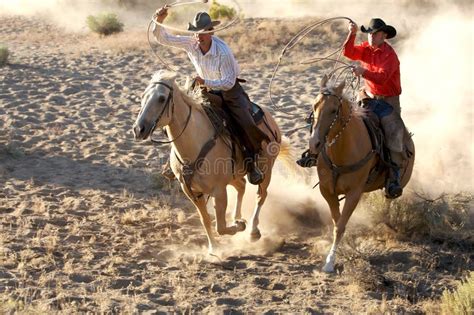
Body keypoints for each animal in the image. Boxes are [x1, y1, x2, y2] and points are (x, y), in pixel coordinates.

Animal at [131, 71, 284, 254]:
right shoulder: (191, 191)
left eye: (161, 98)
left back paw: (252, 231)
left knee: (260, 195)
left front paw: (238, 227)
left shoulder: (219, 190)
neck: (195, 143)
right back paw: (237, 217)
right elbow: (205, 220)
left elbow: (221, 227)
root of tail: (270, 119)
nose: (138, 129)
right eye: (142, 96)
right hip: (234, 175)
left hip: (266, 169)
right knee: (241, 186)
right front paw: (214, 248)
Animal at [310, 75, 412, 272]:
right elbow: (337, 221)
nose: (314, 144)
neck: (341, 151)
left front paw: (330, 262)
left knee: (389, 198)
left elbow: (340, 226)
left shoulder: (354, 193)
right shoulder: (327, 191)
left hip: (398, 180)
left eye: (334, 110)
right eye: (314, 105)